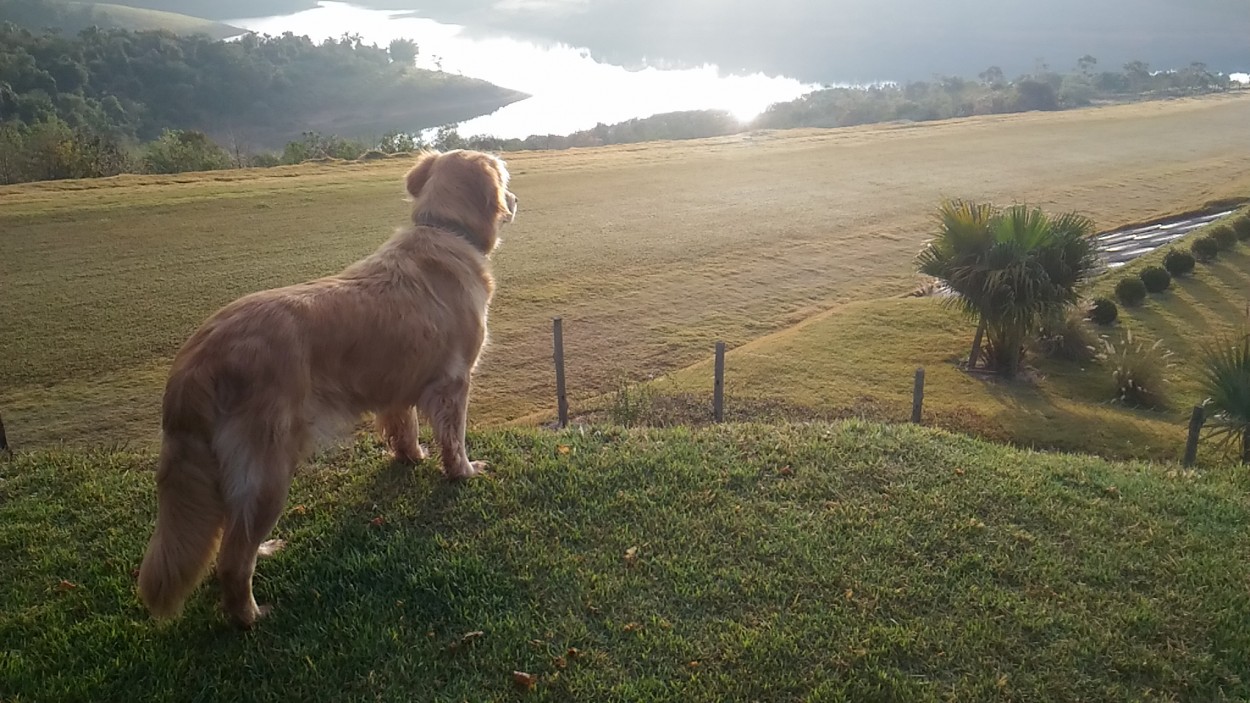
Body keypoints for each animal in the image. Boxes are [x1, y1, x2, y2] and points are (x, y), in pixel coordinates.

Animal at [131, 147, 512, 622]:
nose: (515, 199)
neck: (444, 229)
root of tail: (195, 359)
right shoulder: (454, 384)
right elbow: (454, 440)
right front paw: (463, 472)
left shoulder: (398, 381)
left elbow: (404, 427)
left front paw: (410, 457)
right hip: (269, 467)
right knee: (232, 560)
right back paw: (249, 616)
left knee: (231, 532)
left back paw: (263, 555)